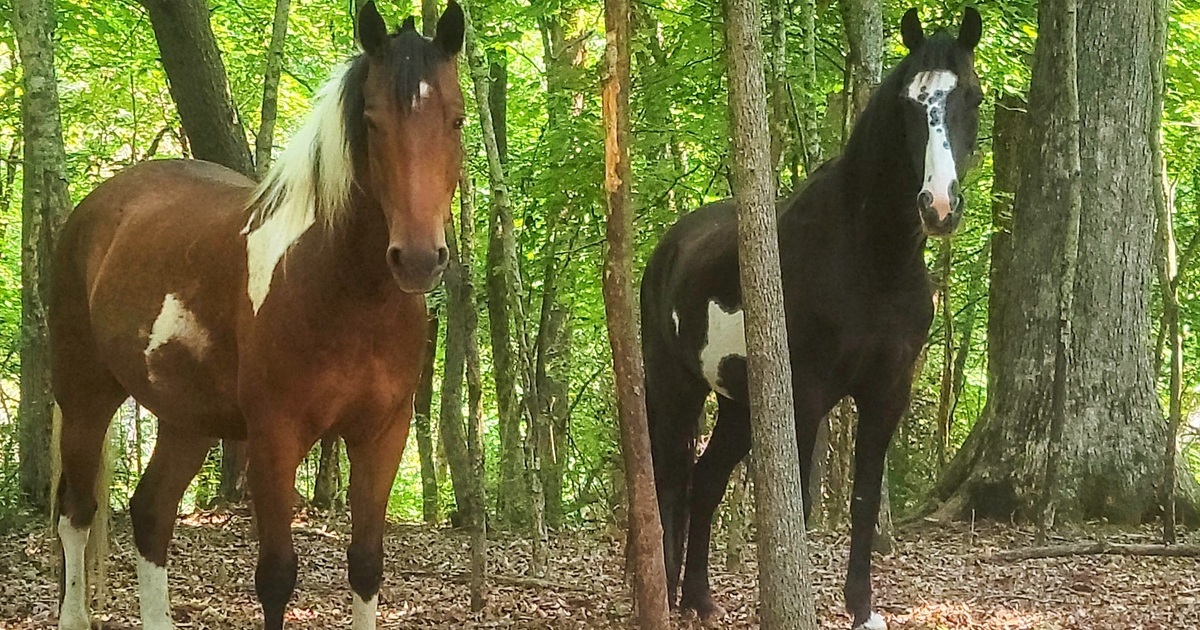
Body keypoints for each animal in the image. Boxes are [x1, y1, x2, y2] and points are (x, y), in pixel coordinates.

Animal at [49, 3, 464, 628]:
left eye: (457, 120)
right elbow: (276, 578)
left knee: (151, 513)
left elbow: (367, 566)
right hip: (84, 398)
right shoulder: (275, 438)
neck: (342, 288)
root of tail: (95, 207)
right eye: (371, 122)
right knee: (76, 514)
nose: (417, 259)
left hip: (189, 418)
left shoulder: (382, 435)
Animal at [640, 8, 982, 629]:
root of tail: (669, 248)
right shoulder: (808, 395)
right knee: (669, 483)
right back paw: (670, 597)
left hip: (740, 404)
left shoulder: (886, 393)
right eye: (909, 103)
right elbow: (795, 506)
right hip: (676, 388)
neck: (870, 258)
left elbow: (864, 500)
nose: (939, 206)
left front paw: (862, 609)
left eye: (971, 95)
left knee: (704, 482)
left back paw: (699, 598)